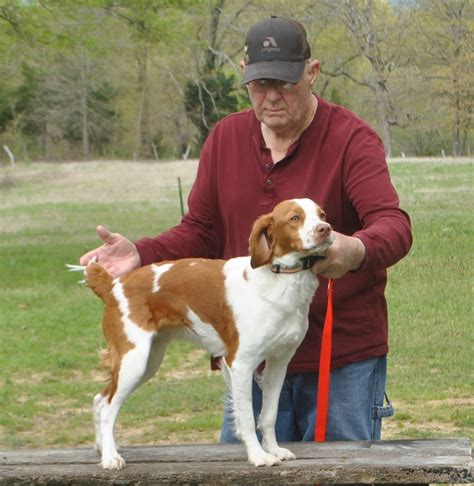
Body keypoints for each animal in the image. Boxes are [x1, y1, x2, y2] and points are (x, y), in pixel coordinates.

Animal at [67, 198, 334, 470]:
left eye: (322, 214)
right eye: (294, 218)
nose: (325, 229)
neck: (279, 278)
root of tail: (113, 284)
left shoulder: (279, 362)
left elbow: (268, 415)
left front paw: (275, 450)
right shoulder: (241, 362)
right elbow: (248, 418)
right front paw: (258, 456)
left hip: (148, 359)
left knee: (99, 400)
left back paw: (101, 448)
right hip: (134, 359)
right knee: (108, 408)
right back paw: (111, 457)